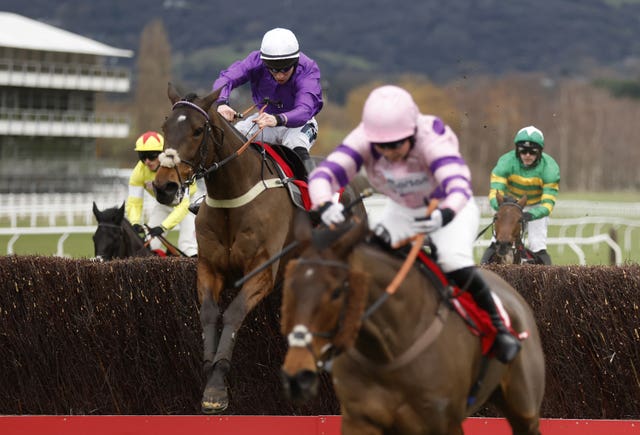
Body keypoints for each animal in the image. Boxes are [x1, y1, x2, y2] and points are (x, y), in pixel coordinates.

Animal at [151, 83, 364, 414]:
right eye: (165, 128)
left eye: (198, 130)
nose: (165, 187)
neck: (233, 199)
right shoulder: (209, 268)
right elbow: (209, 314)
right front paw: (209, 375)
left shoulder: (261, 270)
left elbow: (233, 313)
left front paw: (217, 387)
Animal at [282, 209, 544, 434]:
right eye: (290, 286)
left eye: (336, 292)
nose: (297, 375)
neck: (387, 353)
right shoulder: (360, 419)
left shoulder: (442, 422)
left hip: (524, 407)